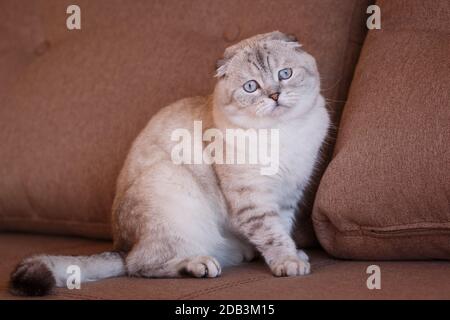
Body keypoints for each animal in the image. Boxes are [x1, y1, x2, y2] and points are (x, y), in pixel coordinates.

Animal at [8, 31, 328, 296]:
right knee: (138, 265)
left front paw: (294, 255)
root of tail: (120, 246)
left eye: (285, 74)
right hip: (169, 186)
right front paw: (288, 262)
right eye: (251, 87)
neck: (284, 133)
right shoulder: (253, 197)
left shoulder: (288, 192)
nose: (274, 95)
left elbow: (282, 227)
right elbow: (272, 233)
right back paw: (198, 265)